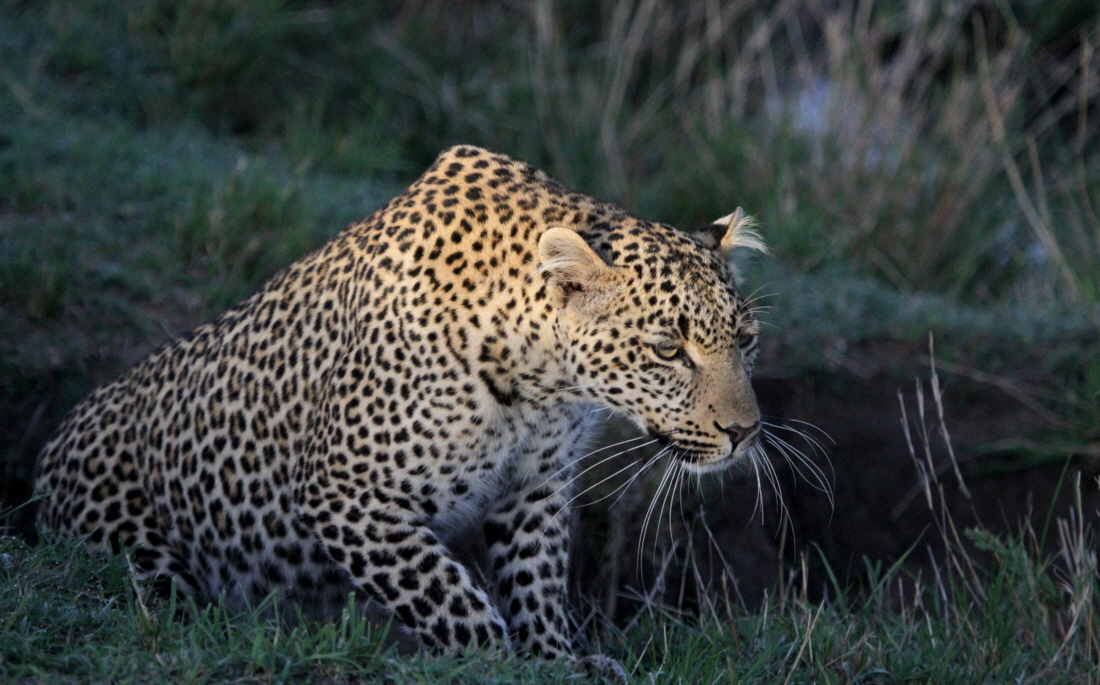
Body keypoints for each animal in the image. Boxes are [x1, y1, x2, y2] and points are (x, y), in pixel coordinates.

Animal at [38, 142, 770, 677]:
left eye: (745, 340)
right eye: (668, 349)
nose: (744, 431)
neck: (543, 384)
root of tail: (48, 459)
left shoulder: (534, 486)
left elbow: (534, 581)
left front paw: (557, 661)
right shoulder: (346, 492)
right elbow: (450, 595)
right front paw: (498, 663)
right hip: (139, 553)